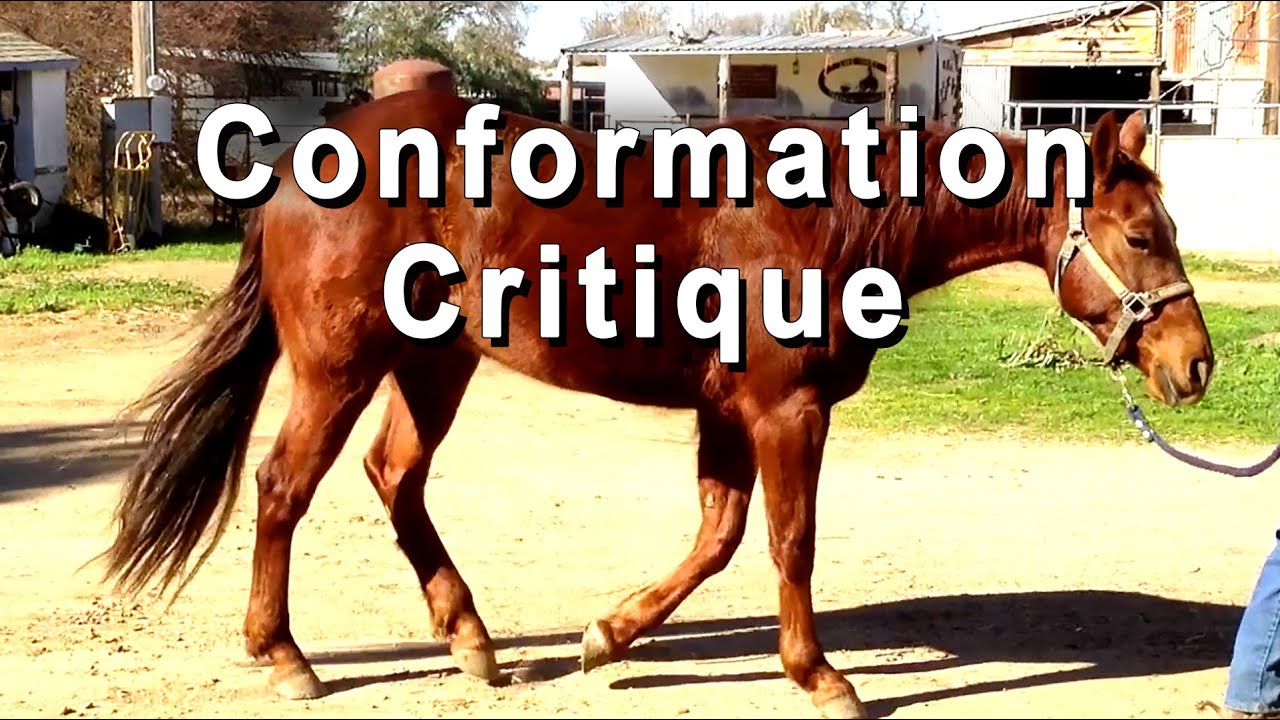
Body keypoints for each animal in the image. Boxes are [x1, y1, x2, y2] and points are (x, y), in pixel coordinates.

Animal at [97, 90, 1214, 719]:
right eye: (1141, 236)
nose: (1195, 364)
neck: (820, 219)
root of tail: (301, 166)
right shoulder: (784, 410)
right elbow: (788, 542)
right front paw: (821, 678)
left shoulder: (729, 412)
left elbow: (717, 539)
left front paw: (607, 636)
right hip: (340, 367)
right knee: (285, 486)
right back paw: (286, 657)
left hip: (434, 365)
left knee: (395, 477)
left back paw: (470, 639)